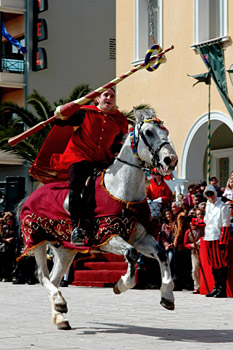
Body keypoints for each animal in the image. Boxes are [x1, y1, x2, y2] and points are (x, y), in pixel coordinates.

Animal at [18, 108, 177, 330]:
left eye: (166, 130)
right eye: (149, 132)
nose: (171, 159)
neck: (121, 191)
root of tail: (30, 196)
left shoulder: (140, 237)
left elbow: (162, 253)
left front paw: (167, 296)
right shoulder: (107, 236)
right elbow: (131, 255)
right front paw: (121, 284)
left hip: (65, 250)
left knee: (55, 279)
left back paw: (60, 315)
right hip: (37, 239)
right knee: (42, 276)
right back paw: (59, 303)